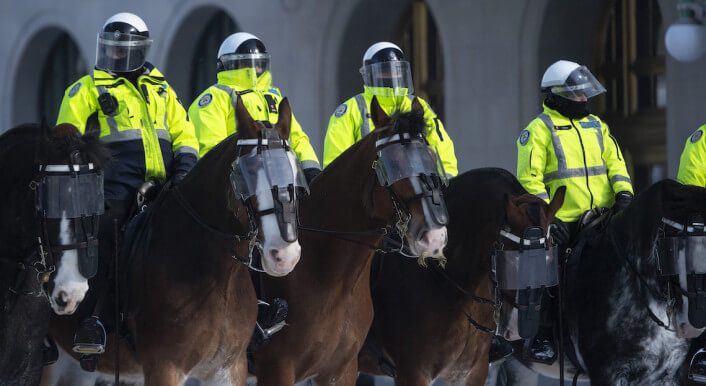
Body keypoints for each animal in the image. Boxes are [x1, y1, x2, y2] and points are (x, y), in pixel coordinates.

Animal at [44, 96, 302, 386]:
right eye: (251, 173)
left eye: (294, 174)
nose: (284, 255)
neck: (216, 280)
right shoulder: (164, 367)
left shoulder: (229, 369)